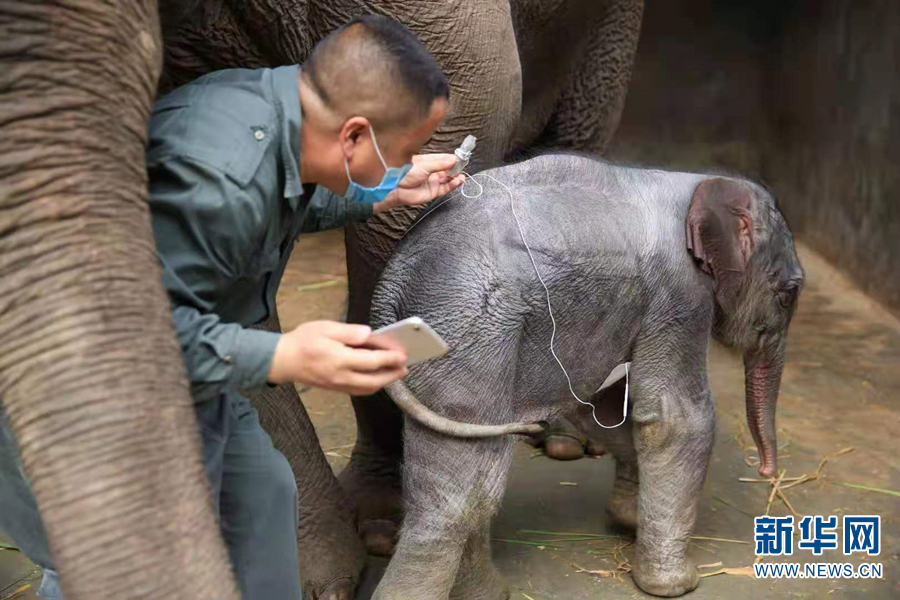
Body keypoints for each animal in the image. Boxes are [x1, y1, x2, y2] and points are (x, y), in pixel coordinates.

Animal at [370, 156, 804, 600]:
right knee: (460, 493)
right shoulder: (680, 296)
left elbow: (604, 405)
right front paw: (677, 585)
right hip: (468, 330)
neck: (696, 183)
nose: (767, 471)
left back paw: (491, 592)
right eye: (789, 294)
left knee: (474, 480)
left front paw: (629, 521)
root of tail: (393, 277)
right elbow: (675, 419)